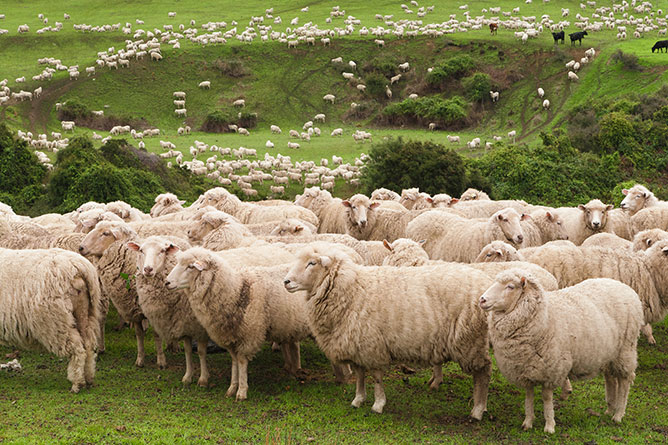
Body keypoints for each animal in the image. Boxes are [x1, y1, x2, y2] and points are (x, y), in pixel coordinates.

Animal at [0, 246, 102, 392]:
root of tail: (78, 267)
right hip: (86, 314)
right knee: (88, 346)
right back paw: (88, 379)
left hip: (56, 321)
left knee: (77, 349)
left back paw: (76, 383)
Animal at [124, 236, 209, 386]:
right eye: (141, 250)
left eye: (162, 251)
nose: (148, 269)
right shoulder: (155, 314)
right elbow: (142, 334)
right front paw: (142, 360)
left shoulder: (196, 325)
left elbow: (200, 350)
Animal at [166, 246, 314, 398]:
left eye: (190, 266)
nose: (167, 282)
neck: (236, 291)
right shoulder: (231, 335)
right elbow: (234, 361)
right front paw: (232, 387)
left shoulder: (248, 335)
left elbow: (242, 361)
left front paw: (242, 391)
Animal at [280, 243, 490, 416]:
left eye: (312, 263)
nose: (286, 282)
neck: (351, 290)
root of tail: (484, 282)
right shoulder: (356, 344)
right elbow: (360, 375)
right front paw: (358, 399)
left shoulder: (372, 346)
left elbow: (377, 377)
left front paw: (378, 404)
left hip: (471, 341)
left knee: (483, 374)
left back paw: (478, 409)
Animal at [480, 268, 640, 432]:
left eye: (510, 286)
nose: (482, 300)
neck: (544, 316)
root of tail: (624, 286)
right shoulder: (526, 369)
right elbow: (529, 395)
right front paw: (528, 422)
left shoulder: (550, 369)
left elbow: (546, 397)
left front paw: (549, 425)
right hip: (609, 353)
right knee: (610, 378)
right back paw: (609, 409)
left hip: (626, 350)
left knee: (625, 381)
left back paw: (618, 414)